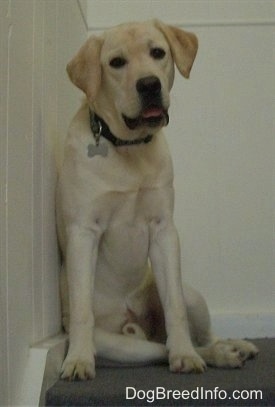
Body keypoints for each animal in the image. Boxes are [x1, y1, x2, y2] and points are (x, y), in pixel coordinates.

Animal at [56, 19, 258, 382]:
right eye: (116, 62)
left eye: (158, 53)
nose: (149, 84)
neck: (128, 147)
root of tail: (139, 326)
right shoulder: (83, 232)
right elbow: (81, 310)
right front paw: (77, 359)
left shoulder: (164, 231)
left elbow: (174, 307)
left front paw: (185, 355)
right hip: (118, 345)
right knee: (156, 349)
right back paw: (219, 354)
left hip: (193, 296)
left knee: (198, 336)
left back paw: (228, 347)